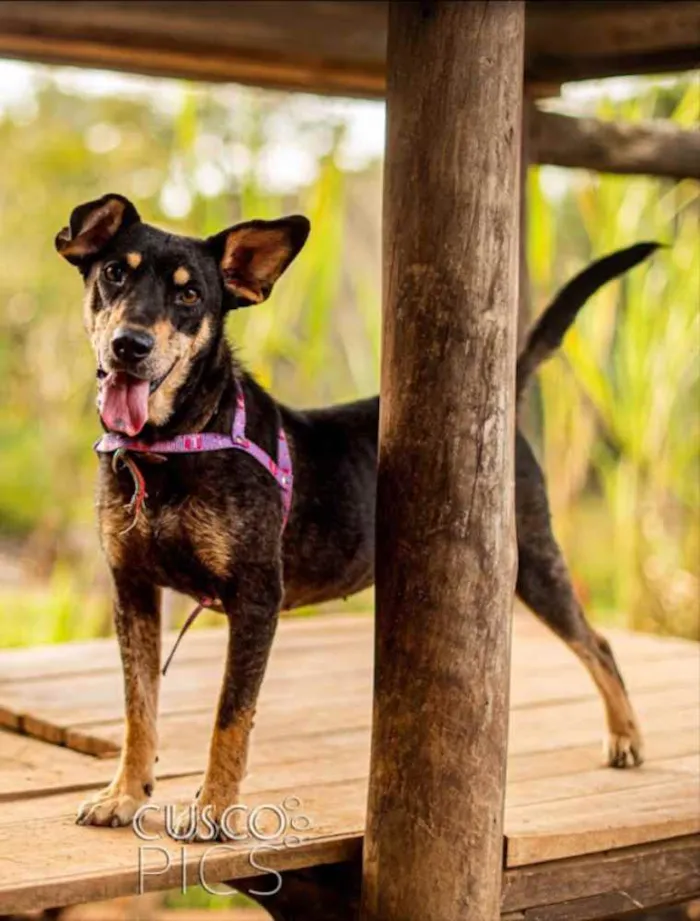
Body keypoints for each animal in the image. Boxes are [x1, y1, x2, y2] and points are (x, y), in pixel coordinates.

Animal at [56, 194, 656, 832]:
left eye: (190, 294)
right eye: (114, 273)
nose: (130, 345)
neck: (170, 447)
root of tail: (506, 402)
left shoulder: (255, 597)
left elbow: (230, 716)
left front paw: (214, 810)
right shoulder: (133, 589)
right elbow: (137, 706)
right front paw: (124, 794)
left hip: (535, 561)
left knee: (598, 643)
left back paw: (625, 737)